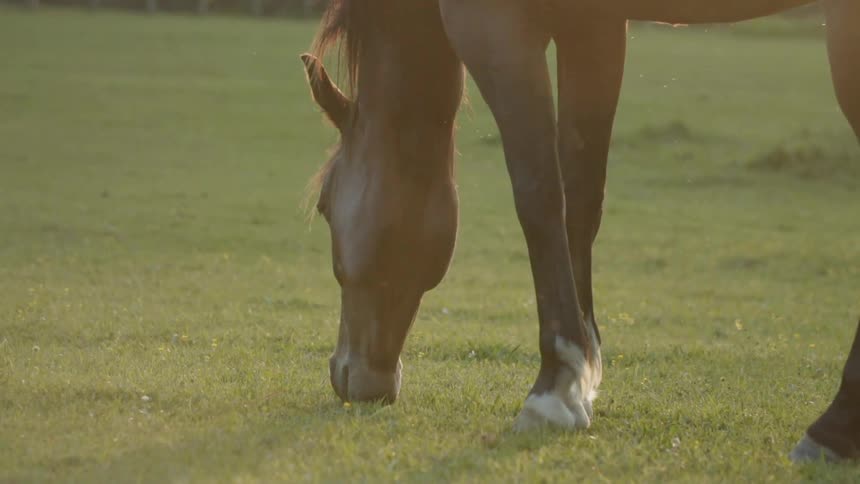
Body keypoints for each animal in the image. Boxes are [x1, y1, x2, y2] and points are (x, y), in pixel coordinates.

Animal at [299, 0, 860, 447]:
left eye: (325, 205)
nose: (347, 374)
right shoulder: (594, 27)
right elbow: (580, 199)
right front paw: (582, 379)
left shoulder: (493, 24)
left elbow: (540, 191)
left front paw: (554, 385)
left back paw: (831, 431)